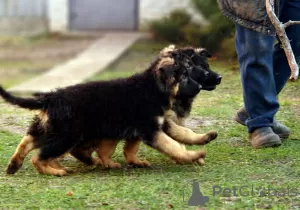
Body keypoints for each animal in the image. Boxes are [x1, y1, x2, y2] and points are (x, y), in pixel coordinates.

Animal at [0, 50, 218, 176]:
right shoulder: (150, 130)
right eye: (184, 76)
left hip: (51, 129)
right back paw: (54, 171)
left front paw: (205, 137)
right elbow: (173, 145)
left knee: (28, 141)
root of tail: (51, 98)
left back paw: (15, 164)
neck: (153, 88)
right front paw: (193, 155)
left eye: (190, 73)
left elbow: (183, 134)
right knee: (39, 156)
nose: (200, 86)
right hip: (67, 135)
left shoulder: (156, 124)